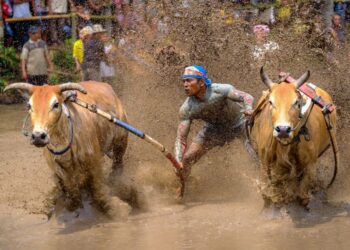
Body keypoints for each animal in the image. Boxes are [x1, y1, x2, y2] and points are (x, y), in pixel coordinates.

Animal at [3, 81, 130, 217]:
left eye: (55, 104)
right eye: (29, 105)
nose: (38, 136)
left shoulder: (95, 162)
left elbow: (98, 189)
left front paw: (117, 209)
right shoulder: (60, 170)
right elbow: (73, 191)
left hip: (121, 142)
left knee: (118, 164)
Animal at [250, 68, 338, 207]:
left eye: (296, 102)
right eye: (271, 102)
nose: (283, 129)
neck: (284, 147)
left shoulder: (311, 165)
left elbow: (302, 195)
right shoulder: (264, 163)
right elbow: (267, 191)